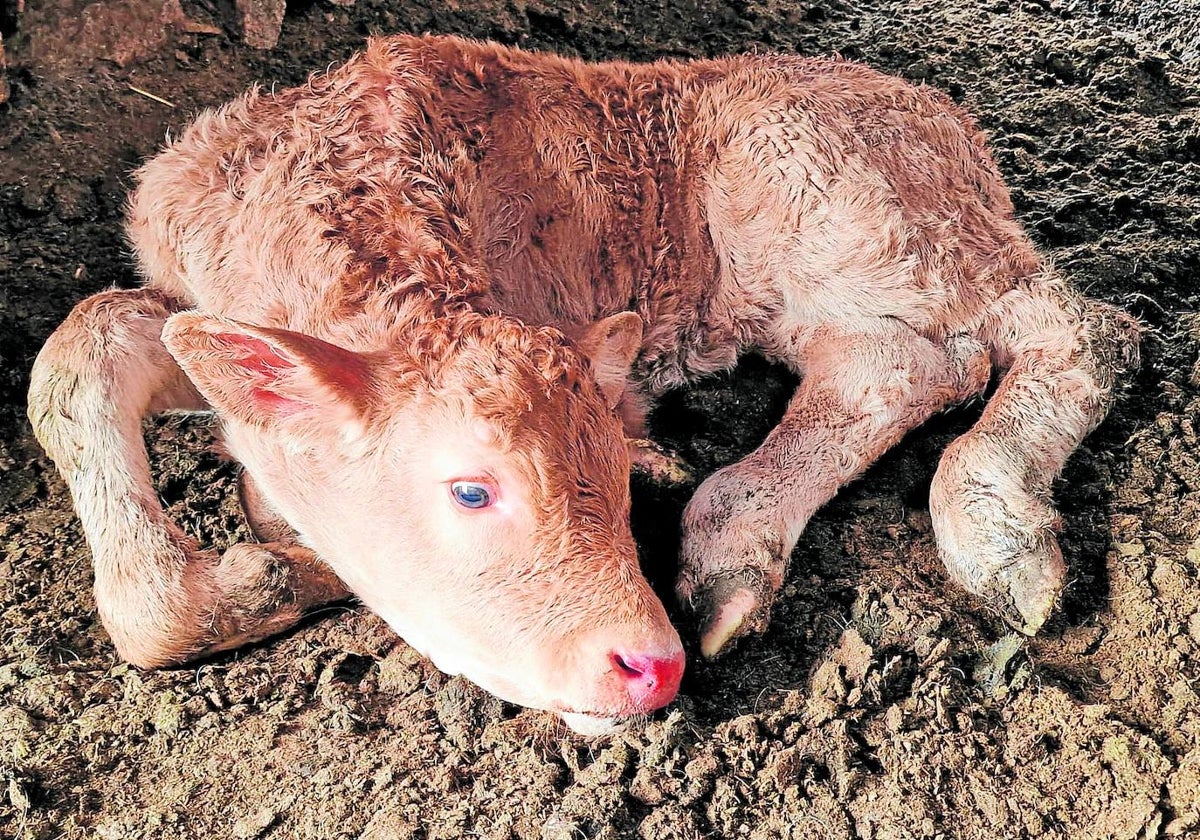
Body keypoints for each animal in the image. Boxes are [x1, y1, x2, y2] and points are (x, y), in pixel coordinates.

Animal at [25, 34, 1132, 729]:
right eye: (472, 490)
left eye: (606, 479)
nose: (651, 664)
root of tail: (945, 118)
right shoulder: (185, 292)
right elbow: (77, 349)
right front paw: (260, 564)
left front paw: (285, 564)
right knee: (917, 358)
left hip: (845, 211)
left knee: (1050, 335)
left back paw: (978, 530)